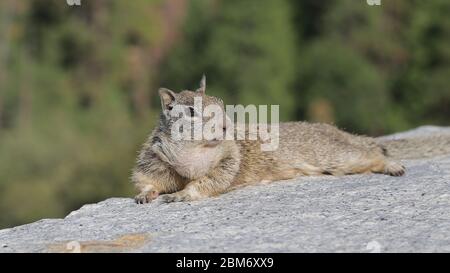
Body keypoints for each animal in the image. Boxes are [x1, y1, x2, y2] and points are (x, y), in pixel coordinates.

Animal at [132, 75, 450, 203]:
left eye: (221, 102)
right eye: (191, 112)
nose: (225, 127)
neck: (195, 150)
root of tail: (339, 133)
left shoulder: (228, 160)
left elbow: (211, 181)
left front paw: (183, 194)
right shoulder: (153, 158)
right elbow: (145, 179)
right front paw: (146, 195)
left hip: (337, 156)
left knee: (372, 153)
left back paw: (392, 165)